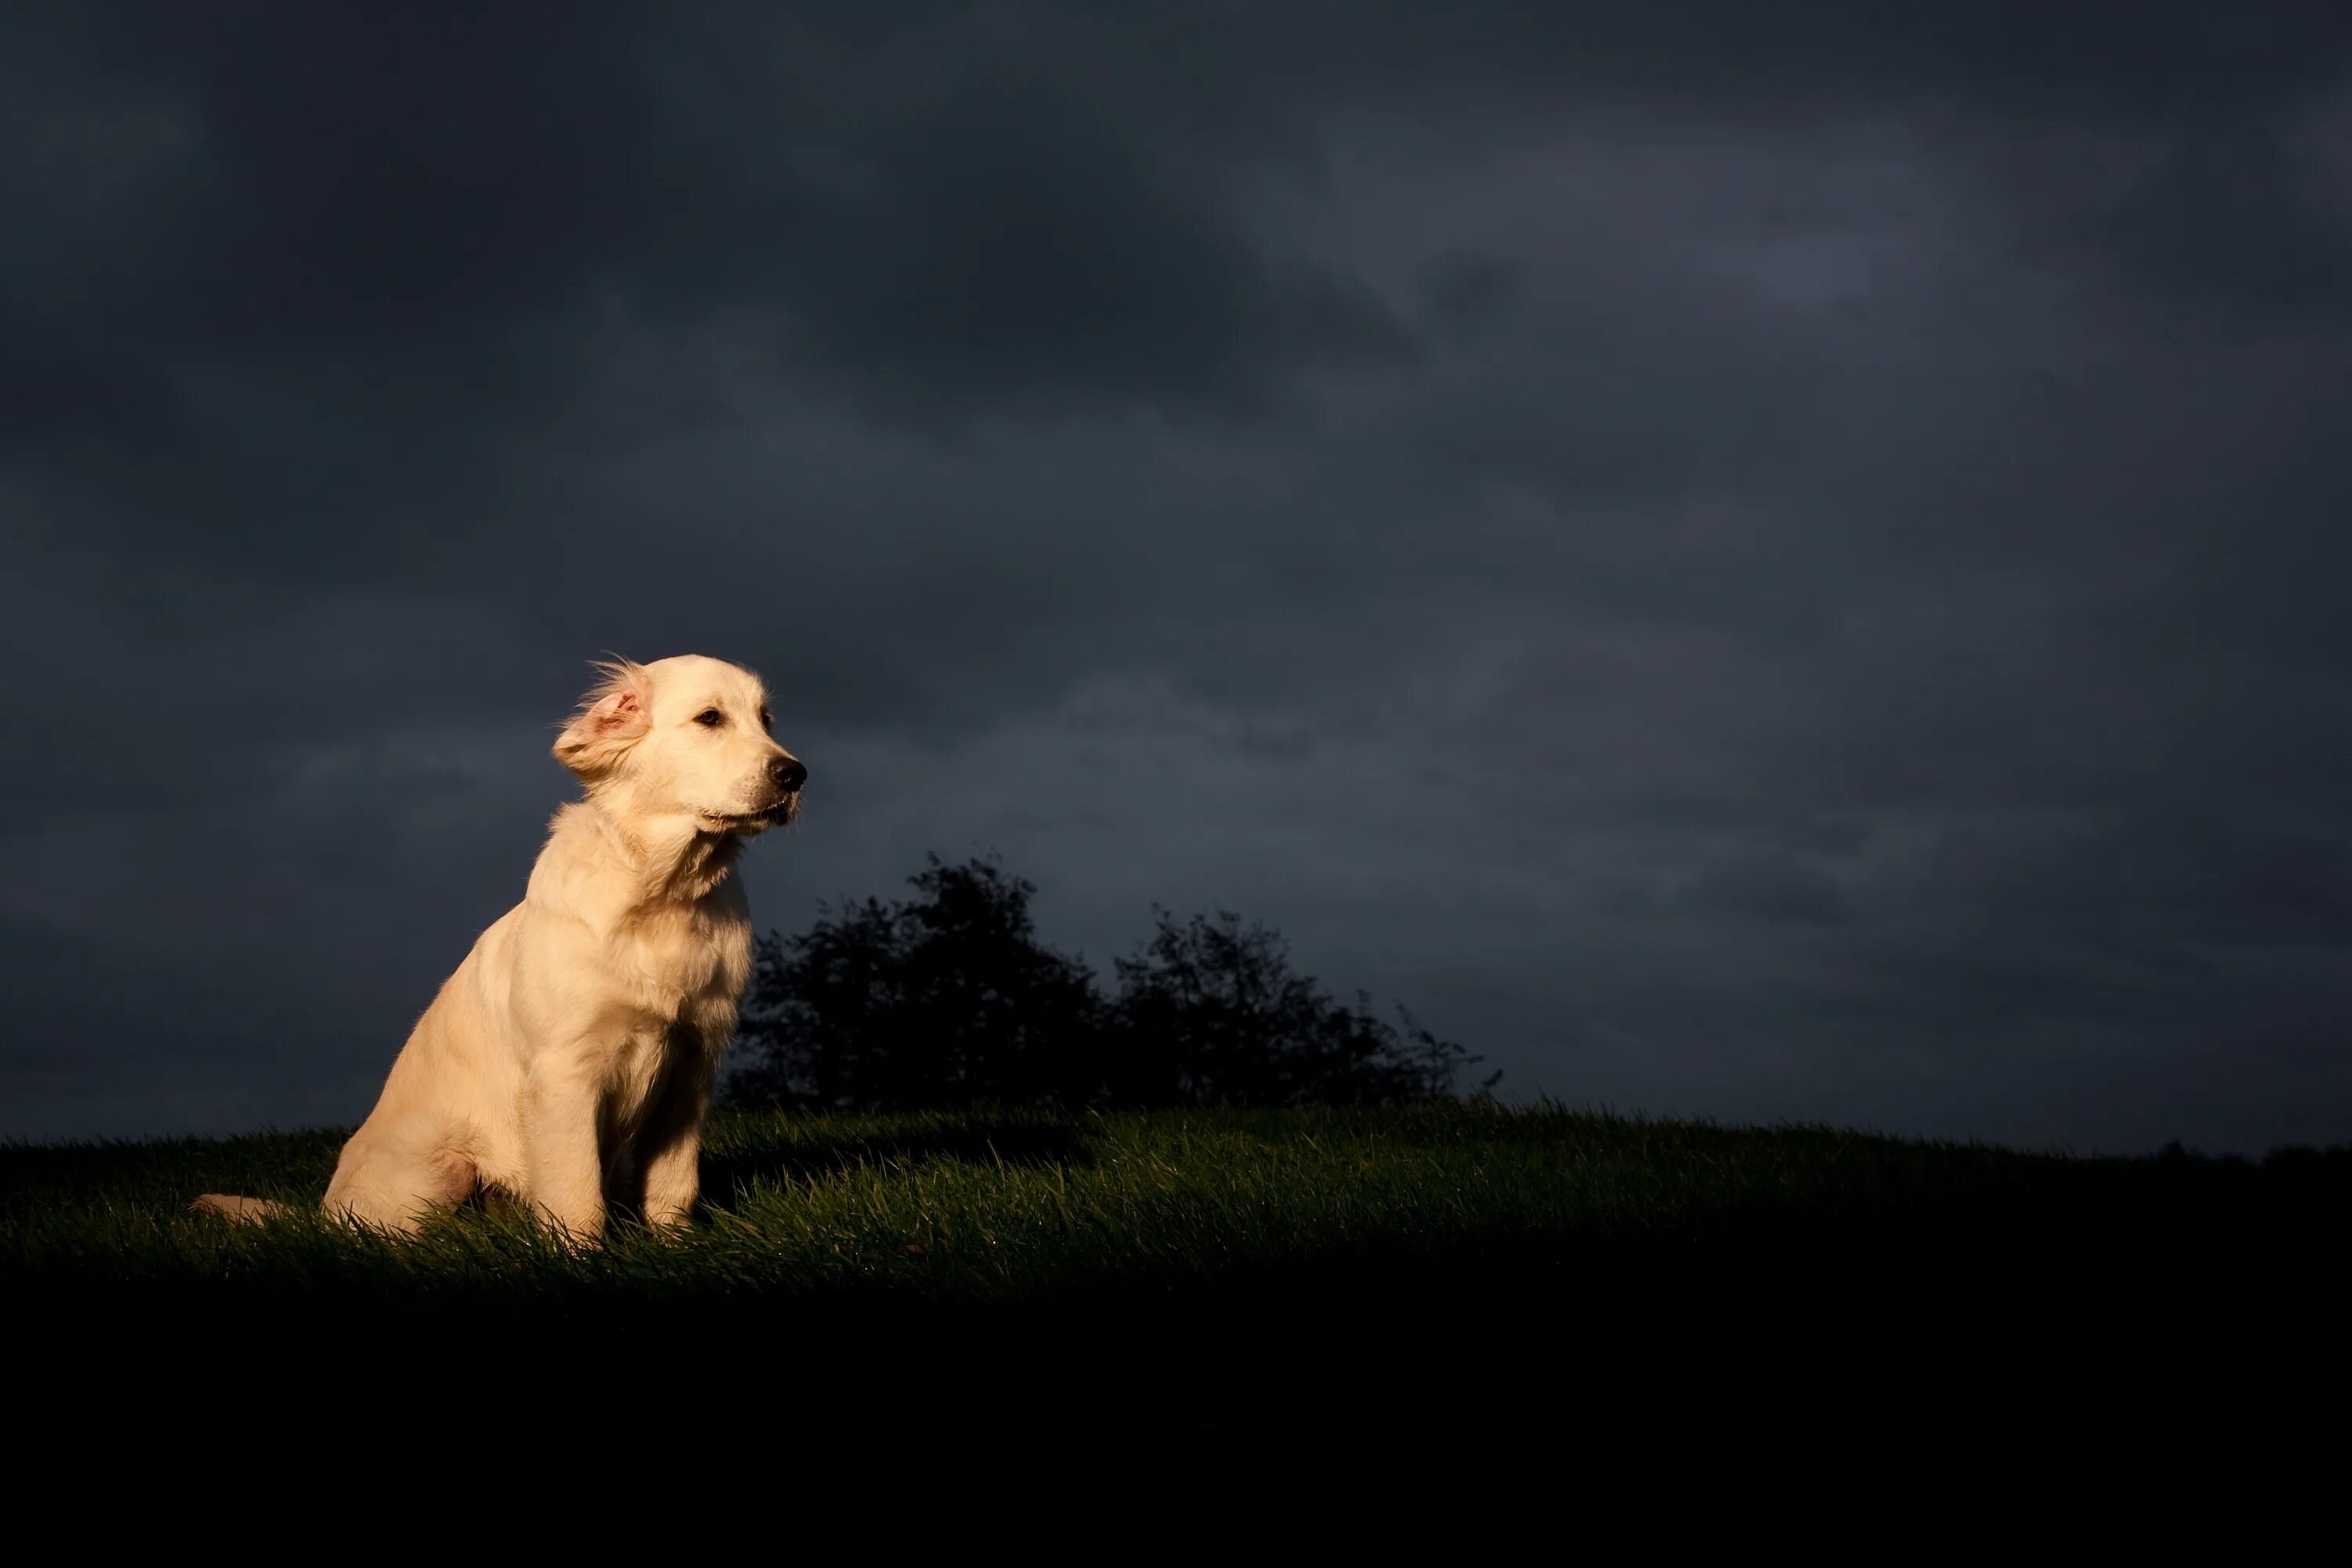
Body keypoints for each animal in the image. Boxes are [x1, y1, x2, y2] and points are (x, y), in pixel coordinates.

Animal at [188, 658, 809, 1241]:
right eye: (710, 719)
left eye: (767, 720)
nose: (795, 774)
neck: (664, 894)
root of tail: (319, 1217)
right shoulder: (567, 1072)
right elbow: (576, 1194)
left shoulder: (692, 1064)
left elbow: (673, 1187)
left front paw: (674, 1247)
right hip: (444, 1166)